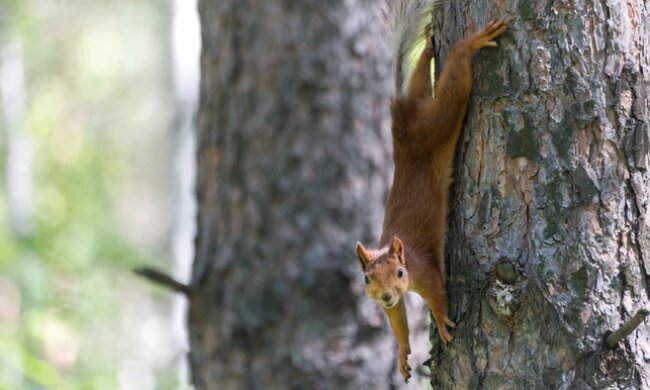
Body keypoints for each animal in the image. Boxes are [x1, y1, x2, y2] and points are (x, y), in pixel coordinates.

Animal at [354, 3, 506, 382]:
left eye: (399, 273)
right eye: (366, 279)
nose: (386, 296)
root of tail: (401, 127)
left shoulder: (424, 269)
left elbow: (437, 291)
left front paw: (440, 320)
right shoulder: (392, 303)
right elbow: (398, 321)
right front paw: (401, 354)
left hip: (438, 124)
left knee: (453, 87)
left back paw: (468, 45)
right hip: (425, 107)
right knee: (423, 79)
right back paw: (427, 44)